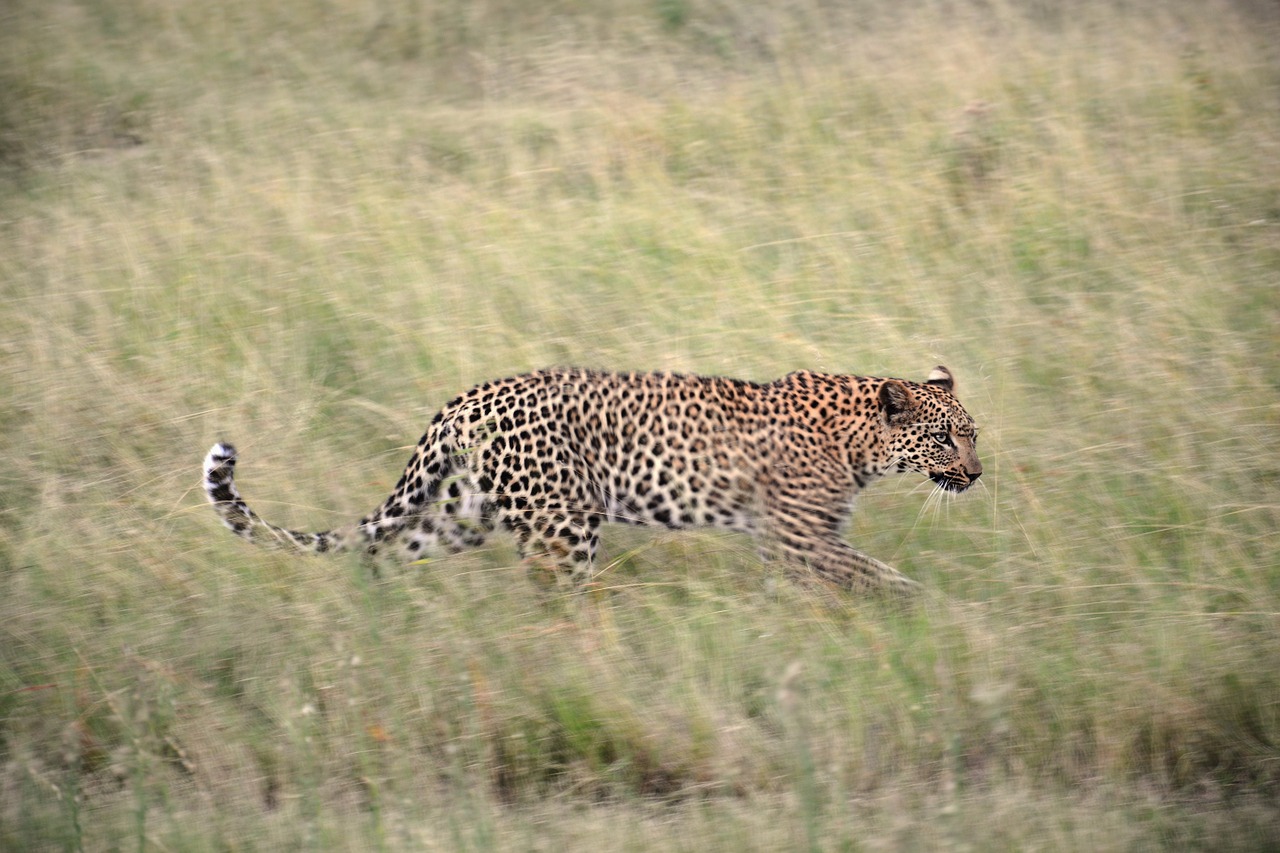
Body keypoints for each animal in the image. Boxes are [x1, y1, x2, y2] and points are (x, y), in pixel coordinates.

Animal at [202, 363, 977, 591]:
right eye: (946, 436)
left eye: (974, 434)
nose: (976, 473)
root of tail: (468, 397)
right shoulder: (799, 537)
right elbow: (877, 575)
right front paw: (927, 610)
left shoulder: (793, 542)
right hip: (561, 525)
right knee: (558, 599)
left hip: (464, 514)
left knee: (389, 552)